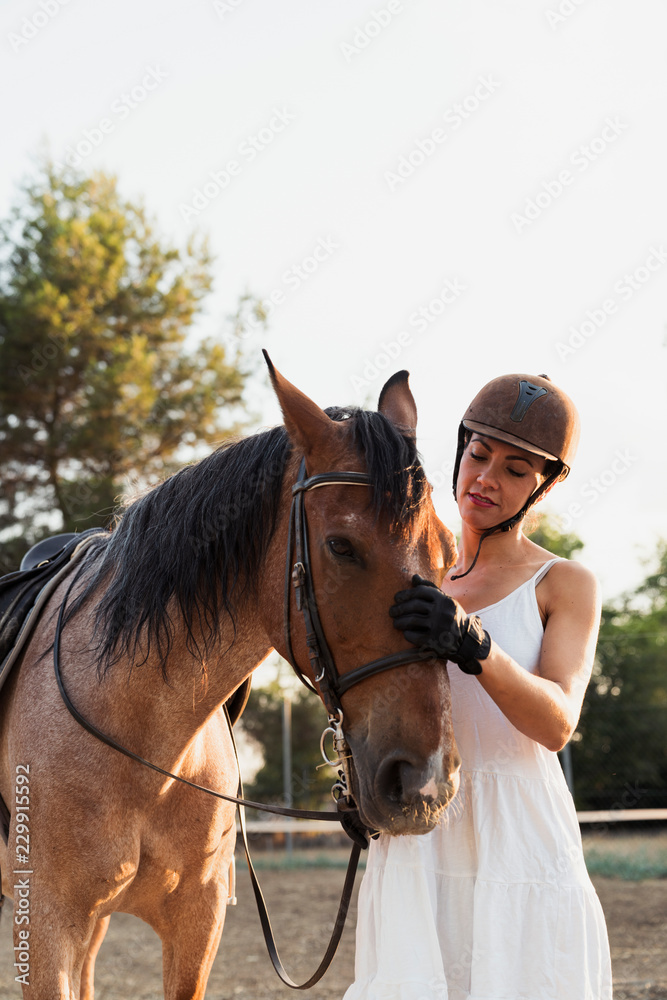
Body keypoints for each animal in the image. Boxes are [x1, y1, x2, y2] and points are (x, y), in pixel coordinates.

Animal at [0, 355, 459, 999]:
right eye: (342, 546)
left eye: (449, 550)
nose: (425, 782)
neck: (148, 742)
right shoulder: (46, 928)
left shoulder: (198, 921)